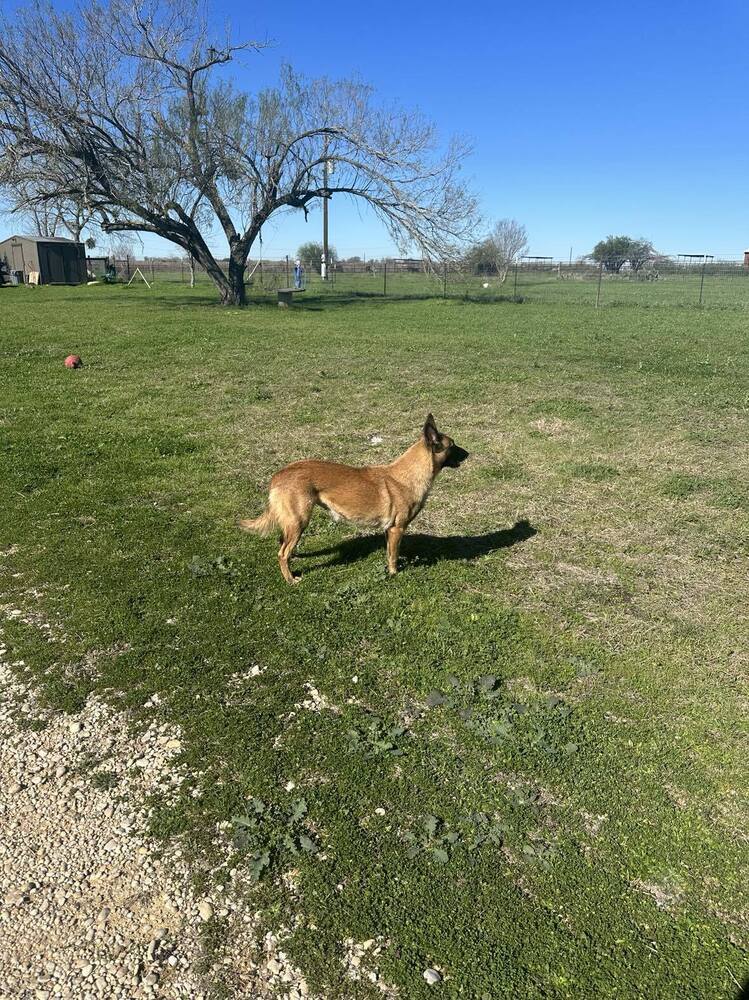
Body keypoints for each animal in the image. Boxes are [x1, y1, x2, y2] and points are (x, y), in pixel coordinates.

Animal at [240, 416, 468, 584]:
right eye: (453, 445)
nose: (469, 453)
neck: (409, 475)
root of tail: (278, 475)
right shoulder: (397, 529)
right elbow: (393, 556)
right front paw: (394, 574)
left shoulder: (389, 531)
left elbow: (389, 552)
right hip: (299, 521)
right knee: (282, 553)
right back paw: (290, 579)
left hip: (293, 523)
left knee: (284, 544)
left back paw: (294, 559)